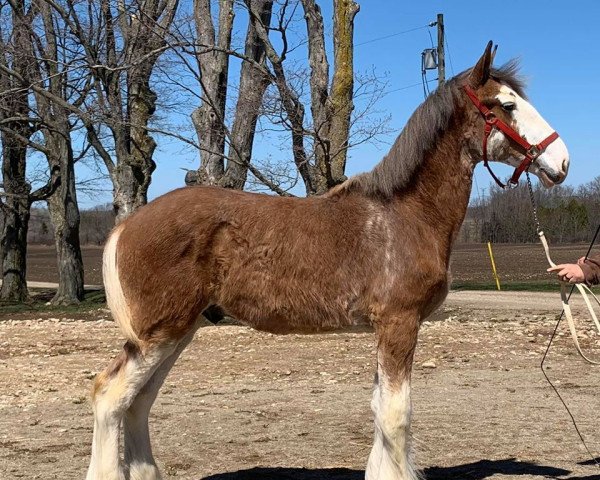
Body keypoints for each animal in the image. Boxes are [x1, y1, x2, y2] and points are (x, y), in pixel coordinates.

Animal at [84, 42, 568, 480]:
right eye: (506, 104)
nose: (561, 160)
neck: (404, 214)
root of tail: (128, 224)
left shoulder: (385, 330)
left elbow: (379, 411)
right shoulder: (400, 323)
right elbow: (396, 415)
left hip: (180, 332)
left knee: (138, 404)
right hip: (159, 334)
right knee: (109, 396)